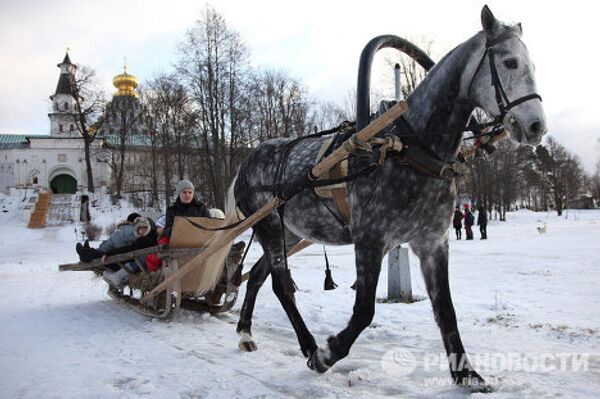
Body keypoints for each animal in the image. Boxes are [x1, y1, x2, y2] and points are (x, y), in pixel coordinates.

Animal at [229, 5, 544, 390]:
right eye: (510, 62)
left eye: (532, 65)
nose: (536, 126)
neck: (410, 148)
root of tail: (248, 161)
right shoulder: (370, 238)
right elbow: (364, 310)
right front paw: (328, 353)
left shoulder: (432, 242)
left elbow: (446, 310)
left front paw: (466, 373)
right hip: (270, 225)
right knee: (280, 284)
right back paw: (308, 346)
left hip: (290, 231)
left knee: (259, 276)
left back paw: (246, 332)